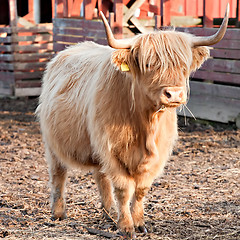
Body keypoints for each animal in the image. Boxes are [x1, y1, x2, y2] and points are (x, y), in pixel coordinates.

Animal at [36, 5, 230, 238]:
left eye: (183, 66)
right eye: (148, 64)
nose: (174, 94)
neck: (145, 123)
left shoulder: (157, 154)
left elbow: (140, 189)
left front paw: (139, 223)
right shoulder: (111, 149)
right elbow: (123, 189)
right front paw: (126, 227)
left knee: (101, 177)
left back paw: (108, 213)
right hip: (52, 143)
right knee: (58, 174)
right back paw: (58, 213)